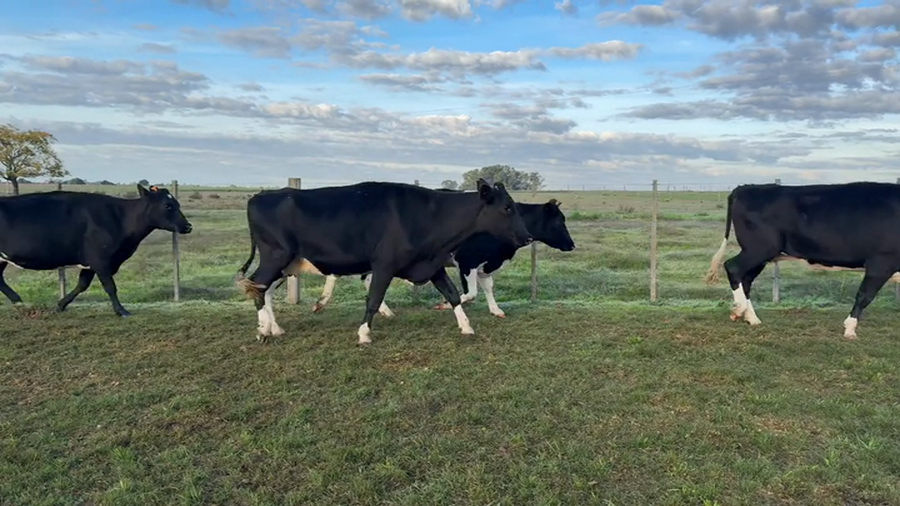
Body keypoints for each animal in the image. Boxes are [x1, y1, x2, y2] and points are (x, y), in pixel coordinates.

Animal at [0, 184, 192, 316]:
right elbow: (110, 287)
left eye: (177, 204)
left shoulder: (91, 262)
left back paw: (19, 302)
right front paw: (122, 311)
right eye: (167, 205)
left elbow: (82, 285)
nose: (188, 226)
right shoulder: (100, 259)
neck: (120, 218)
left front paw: (60, 305)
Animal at [233, 179, 532, 346]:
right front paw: (364, 334)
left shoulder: (431, 263)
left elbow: (454, 294)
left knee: (264, 290)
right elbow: (374, 299)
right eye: (507, 207)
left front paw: (466, 326)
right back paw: (263, 329)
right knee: (259, 287)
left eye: (515, 206)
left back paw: (275, 328)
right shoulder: (384, 265)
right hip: (276, 256)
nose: (528, 236)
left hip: (286, 263)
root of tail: (261, 195)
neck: (426, 216)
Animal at [312, 199, 576, 318]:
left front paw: (496, 310)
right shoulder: (467, 261)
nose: (572, 245)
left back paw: (384, 311)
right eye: (559, 221)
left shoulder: (486, 264)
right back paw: (323, 302)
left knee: (365, 278)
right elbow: (471, 293)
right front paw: (444, 304)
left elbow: (488, 288)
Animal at [704, 181, 900, 339]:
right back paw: (739, 310)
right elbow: (864, 296)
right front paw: (850, 329)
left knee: (746, 280)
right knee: (733, 267)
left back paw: (752, 318)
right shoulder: (881, 261)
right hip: (758, 248)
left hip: (761, 254)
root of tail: (746, 187)